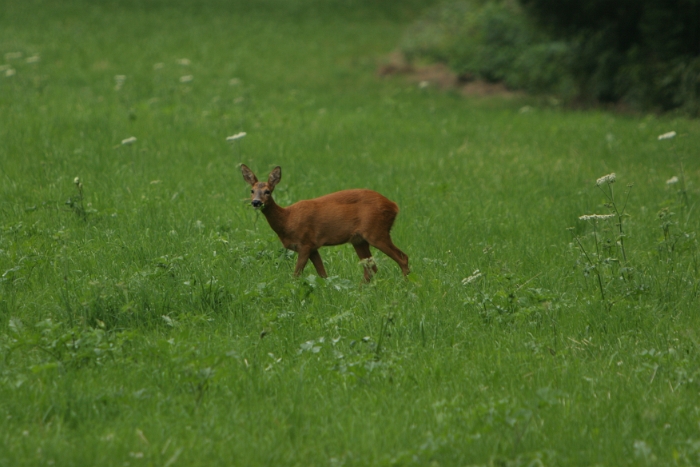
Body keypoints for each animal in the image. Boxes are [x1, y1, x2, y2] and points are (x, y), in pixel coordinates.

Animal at [242, 165, 410, 282]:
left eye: (268, 191)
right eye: (252, 191)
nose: (256, 202)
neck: (287, 220)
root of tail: (394, 206)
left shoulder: (305, 242)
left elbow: (296, 274)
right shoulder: (313, 247)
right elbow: (323, 274)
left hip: (376, 230)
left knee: (402, 257)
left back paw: (406, 285)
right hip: (359, 240)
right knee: (371, 267)